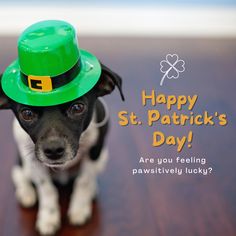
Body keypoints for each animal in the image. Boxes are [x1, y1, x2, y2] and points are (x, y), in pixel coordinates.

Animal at [0, 63, 124, 235]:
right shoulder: (34, 161)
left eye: (77, 107)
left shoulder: (95, 151)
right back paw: (26, 192)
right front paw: (48, 218)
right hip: (23, 163)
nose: (53, 150)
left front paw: (79, 209)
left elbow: (84, 181)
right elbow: (46, 189)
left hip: (103, 157)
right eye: (27, 113)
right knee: (19, 174)